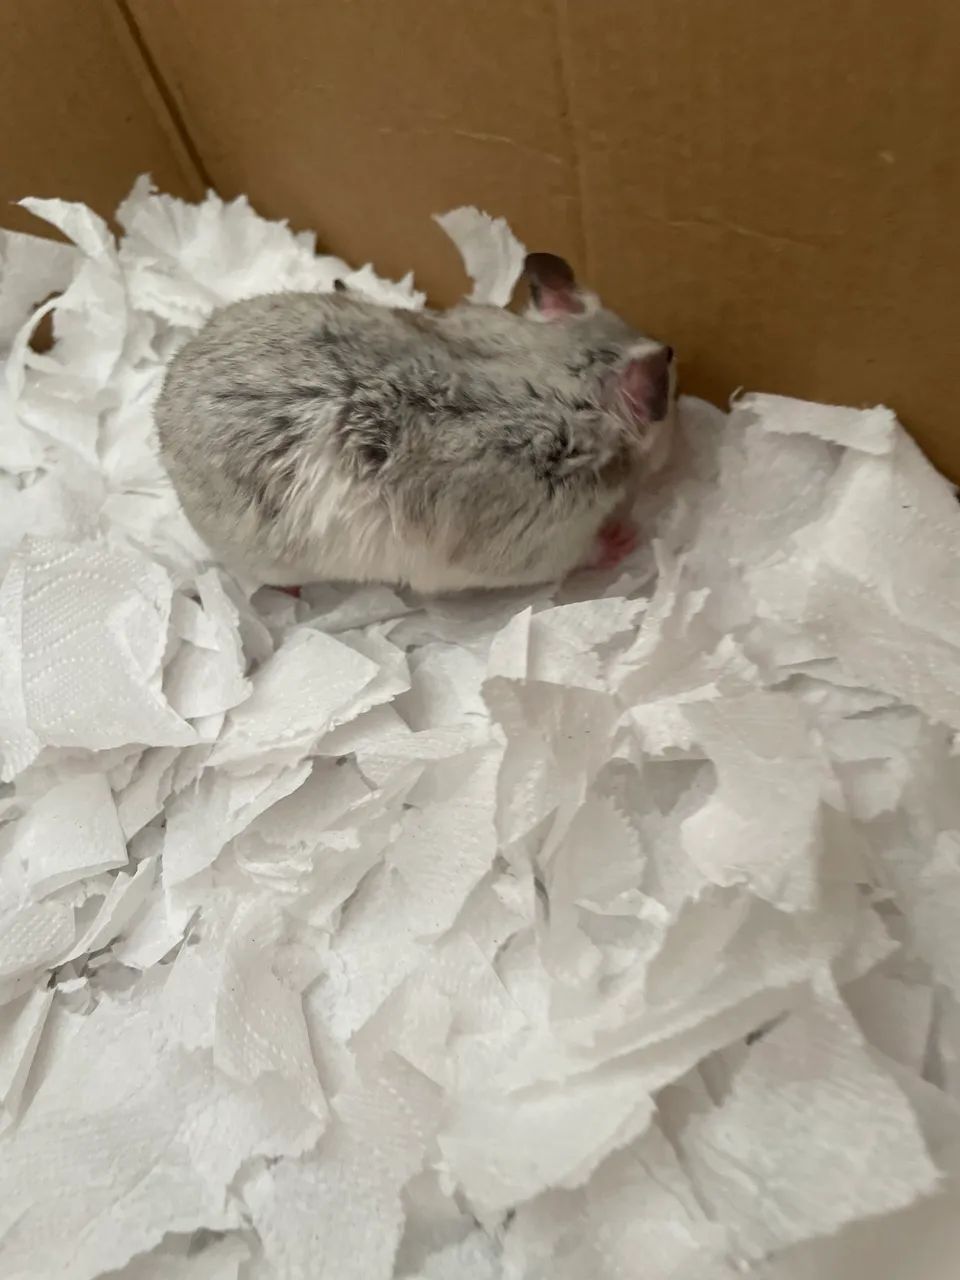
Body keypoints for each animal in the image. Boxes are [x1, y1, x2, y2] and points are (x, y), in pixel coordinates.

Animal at [154, 253, 676, 593]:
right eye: (668, 397)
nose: (681, 431)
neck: (560, 374)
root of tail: (161, 406)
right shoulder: (541, 540)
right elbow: (579, 553)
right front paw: (623, 538)